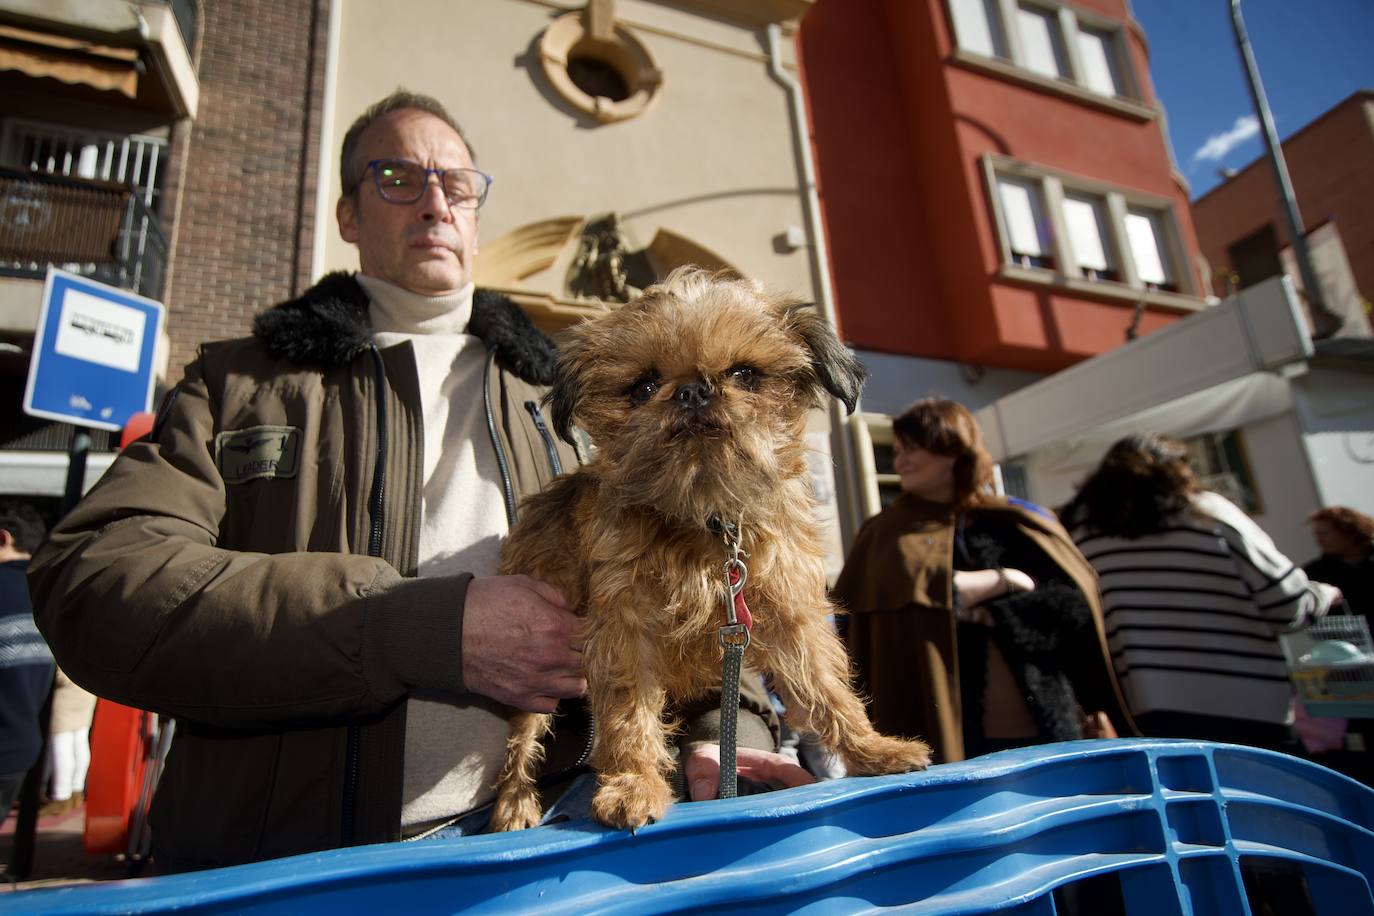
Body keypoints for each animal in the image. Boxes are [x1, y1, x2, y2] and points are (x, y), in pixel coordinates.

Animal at [489, 269, 928, 834]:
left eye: (745, 374)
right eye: (643, 387)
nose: (693, 390)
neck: (707, 521)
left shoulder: (789, 617)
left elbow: (825, 687)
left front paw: (872, 751)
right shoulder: (625, 629)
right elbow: (629, 713)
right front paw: (632, 784)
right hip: (531, 681)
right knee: (521, 741)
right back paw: (515, 803)